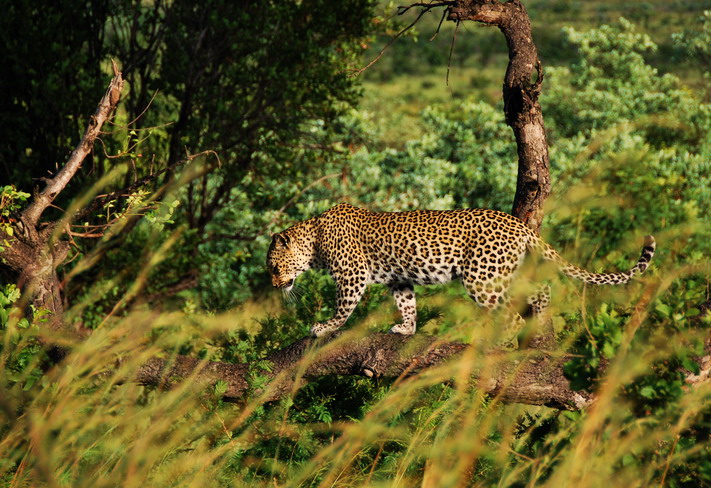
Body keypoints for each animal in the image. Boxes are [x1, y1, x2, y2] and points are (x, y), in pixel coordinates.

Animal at [268, 204, 656, 342]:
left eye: (273, 266)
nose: (273, 285)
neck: (314, 239)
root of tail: (517, 223)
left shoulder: (351, 275)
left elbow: (343, 308)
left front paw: (323, 327)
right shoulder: (399, 278)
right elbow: (407, 303)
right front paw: (407, 329)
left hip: (481, 278)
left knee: (511, 316)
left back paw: (498, 342)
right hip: (502, 273)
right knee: (541, 290)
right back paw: (541, 320)